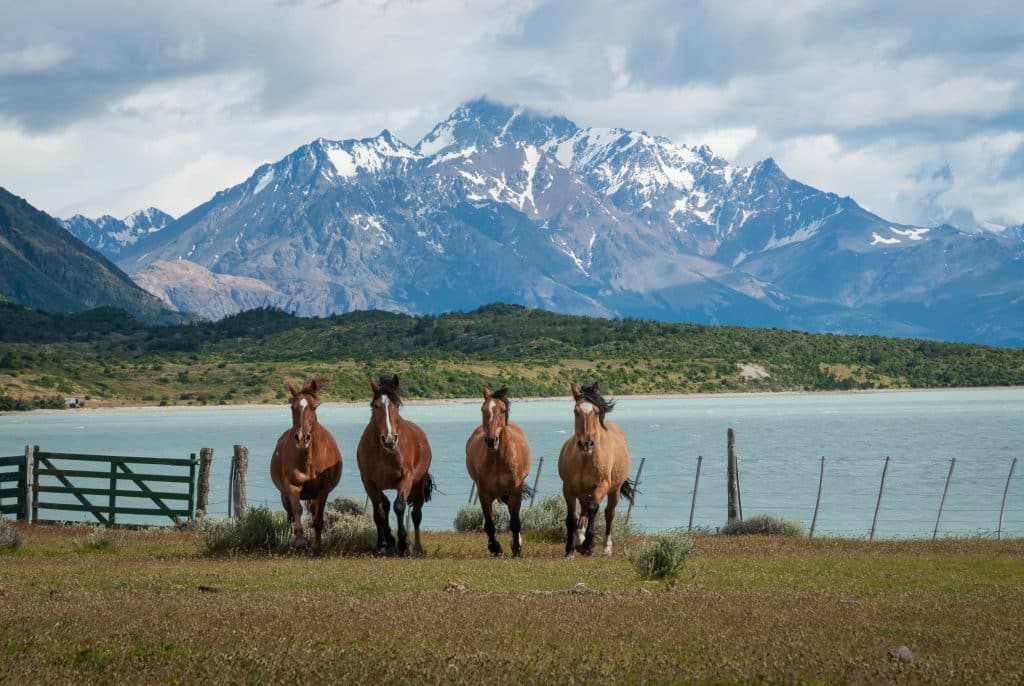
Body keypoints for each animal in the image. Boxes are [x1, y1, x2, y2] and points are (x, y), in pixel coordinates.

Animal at [269, 376, 343, 555]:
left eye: (314, 407)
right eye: (292, 407)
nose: (302, 438)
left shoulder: (322, 491)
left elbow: (318, 520)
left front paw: (317, 549)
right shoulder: (292, 486)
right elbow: (297, 511)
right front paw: (300, 540)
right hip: (284, 495)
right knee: (290, 515)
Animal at [356, 374, 434, 556]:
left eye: (397, 405)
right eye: (375, 406)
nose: (389, 439)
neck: (386, 452)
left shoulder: (406, 478)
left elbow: (399, 506)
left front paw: (404, 543)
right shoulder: (369, 483)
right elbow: (378, 512)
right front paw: (381, 545)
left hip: (418, 485)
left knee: (416, 514)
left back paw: (416, 547)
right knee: (385, 505)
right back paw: (390, 540)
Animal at [465, 384, 533, 557]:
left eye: (502, 410)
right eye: (482, 409)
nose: (491, 441)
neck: (498, 460)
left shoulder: (515, 490)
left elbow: (515, 521)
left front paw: (516, 548)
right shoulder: (484, 493)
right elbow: (489, 523)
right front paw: (495, 548)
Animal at [557, 381, 635, 558]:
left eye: (597, 412)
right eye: (575, 411)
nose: (586, 443)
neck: (585, 460)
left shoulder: (602, 486)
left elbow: (594, 508)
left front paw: (588, 545)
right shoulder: (568, 488)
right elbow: (571, 518)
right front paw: (570, 549)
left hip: (614, 491)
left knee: (608, 513)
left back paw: (606, 547)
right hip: (583, 491)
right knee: (584, 511)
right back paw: (579, 539)